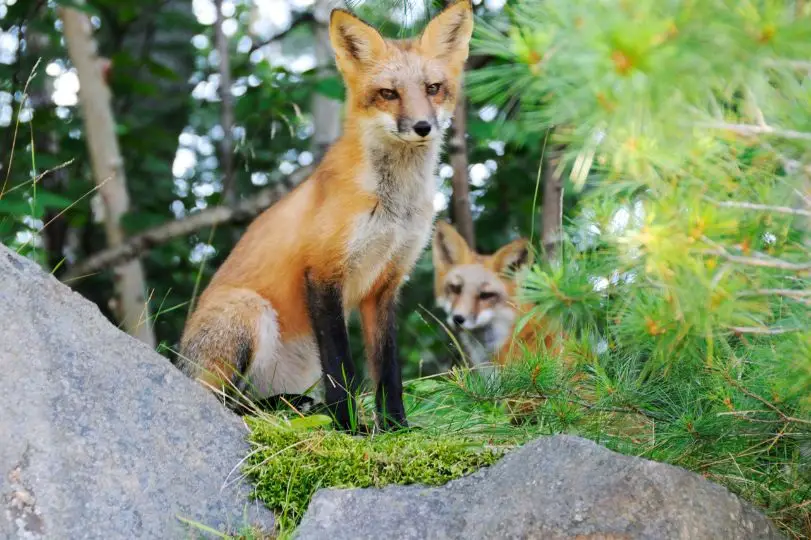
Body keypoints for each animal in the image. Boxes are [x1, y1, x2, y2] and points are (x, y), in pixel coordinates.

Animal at [176, 0, 470, 430]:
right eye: (388, 93)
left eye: (433, 88)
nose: (422, 126)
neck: (393, 206)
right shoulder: (323, 273)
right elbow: (342, 367)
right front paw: (349, 428)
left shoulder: (385, 284)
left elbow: (388, 370)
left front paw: (394, 426)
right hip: (249, 311)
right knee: (225, 404)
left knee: (253, 403)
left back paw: (292, 405)